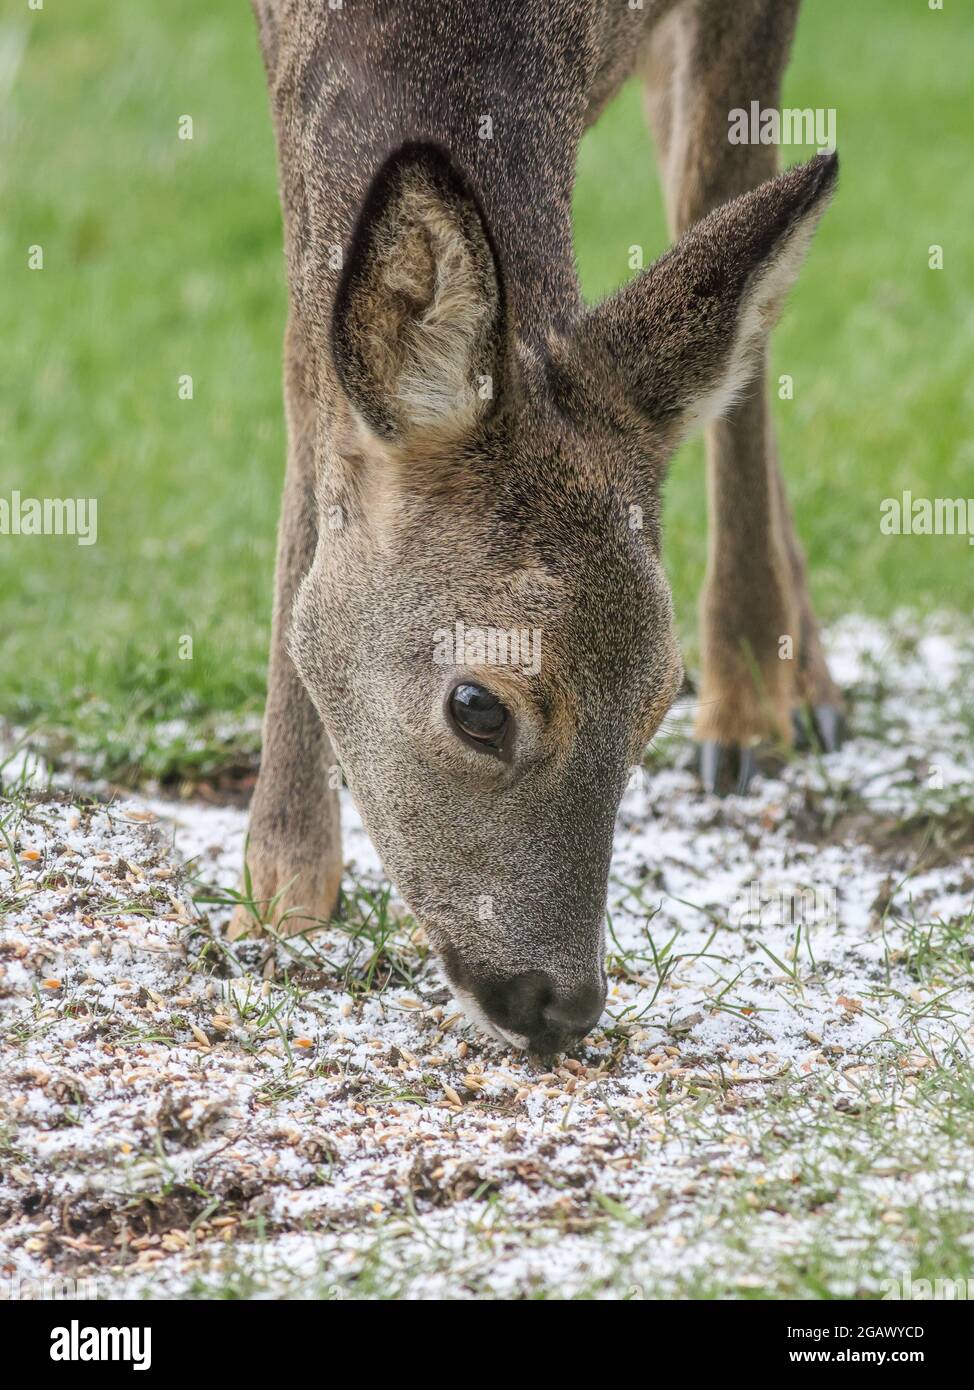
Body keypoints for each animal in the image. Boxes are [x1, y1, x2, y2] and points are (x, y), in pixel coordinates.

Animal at [238, 0, 844, 1053]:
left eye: (659, 699)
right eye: (477, 706)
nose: (563, 1005)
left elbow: (718, 206)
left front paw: (742, 709)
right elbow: (309, 392)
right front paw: (281, 892)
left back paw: (787, 694)